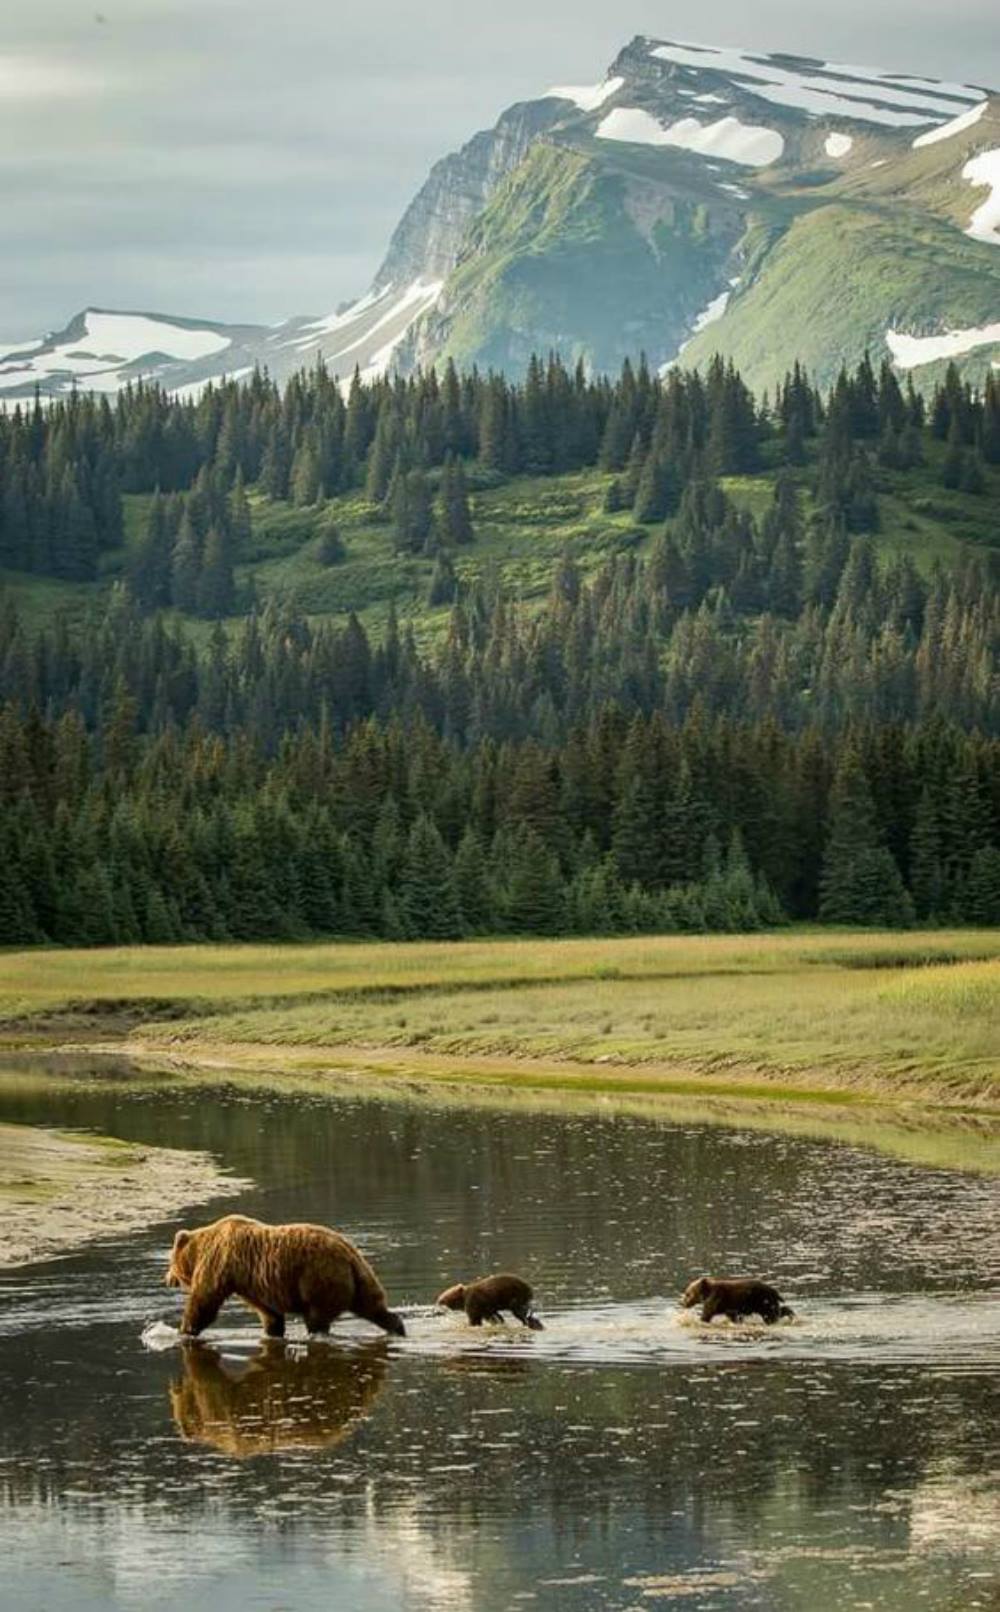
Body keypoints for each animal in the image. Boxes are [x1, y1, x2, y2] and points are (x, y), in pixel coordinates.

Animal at [167, 1212, 406, 1341]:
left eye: (171, 1262)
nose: (168, 1278)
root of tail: (349, 1255)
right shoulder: (254, 1284)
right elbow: (269, 1312)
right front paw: (272, 1331)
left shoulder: (220, 1263)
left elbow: (204, 1299)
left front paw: (183, 1330)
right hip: (359, 1279)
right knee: (374, 1307)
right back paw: (398, 1328)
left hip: (319, 1278)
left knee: (317, 1318)